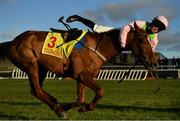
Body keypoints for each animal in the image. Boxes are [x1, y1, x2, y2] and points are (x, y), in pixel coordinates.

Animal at [0, 22, 157, 117]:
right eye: (143, 41)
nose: (154, 62)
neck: (97, 47)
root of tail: (12, 42)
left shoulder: (83, 76)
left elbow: (80, 99)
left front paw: (74, 107)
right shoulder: (81, 75)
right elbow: (100, 91)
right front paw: (83, 108)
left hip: (41, 68)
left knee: (36, 90)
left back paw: (55, 103)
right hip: (31, 64)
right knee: (37, 90)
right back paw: (57, 109)